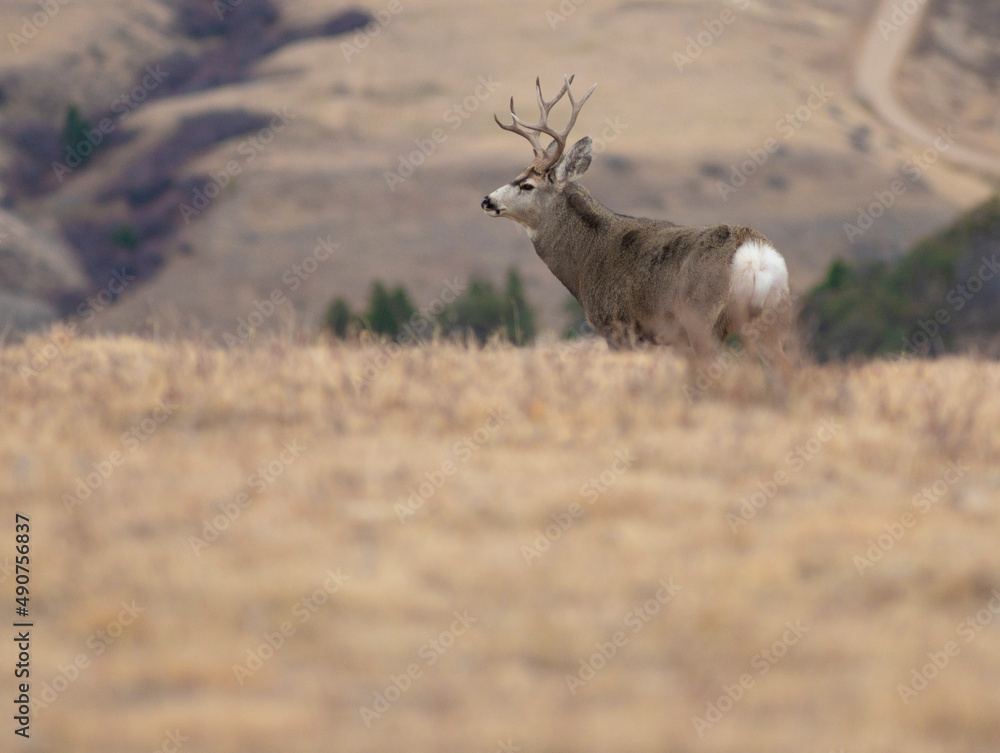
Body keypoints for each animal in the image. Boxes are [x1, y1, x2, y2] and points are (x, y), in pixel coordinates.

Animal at [481, 75, 792, 374]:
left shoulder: (618, 325)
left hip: (703, 319)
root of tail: (753, 255)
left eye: (527, 185)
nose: (487, 200)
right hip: (773, 318)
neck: (586, 258)